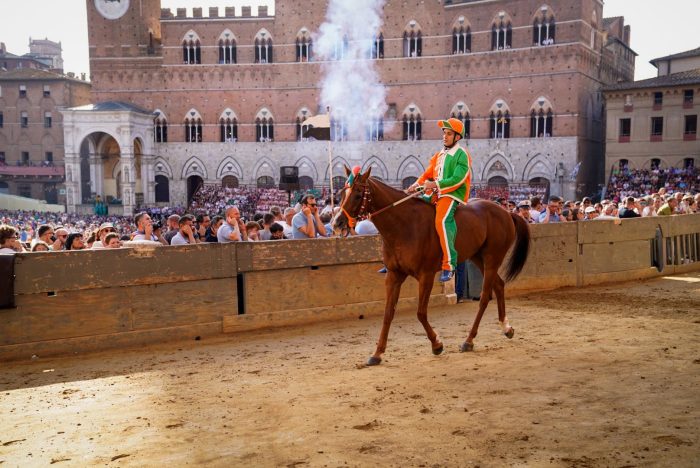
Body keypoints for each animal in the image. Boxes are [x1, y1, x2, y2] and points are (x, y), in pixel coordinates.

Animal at [334, 168, 532, 366]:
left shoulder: (426, 275)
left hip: (492, 258)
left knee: (485, 297)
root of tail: (506, 212)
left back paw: (469, 340)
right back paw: (506, 328)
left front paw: (437, 344)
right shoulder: (394, 275)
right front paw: (377, 353)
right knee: (498, 285)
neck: (404, 225)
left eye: (358, 193)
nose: (337, 222)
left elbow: (421, 313)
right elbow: (388, 313)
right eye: (341, 193)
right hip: (477, 257)